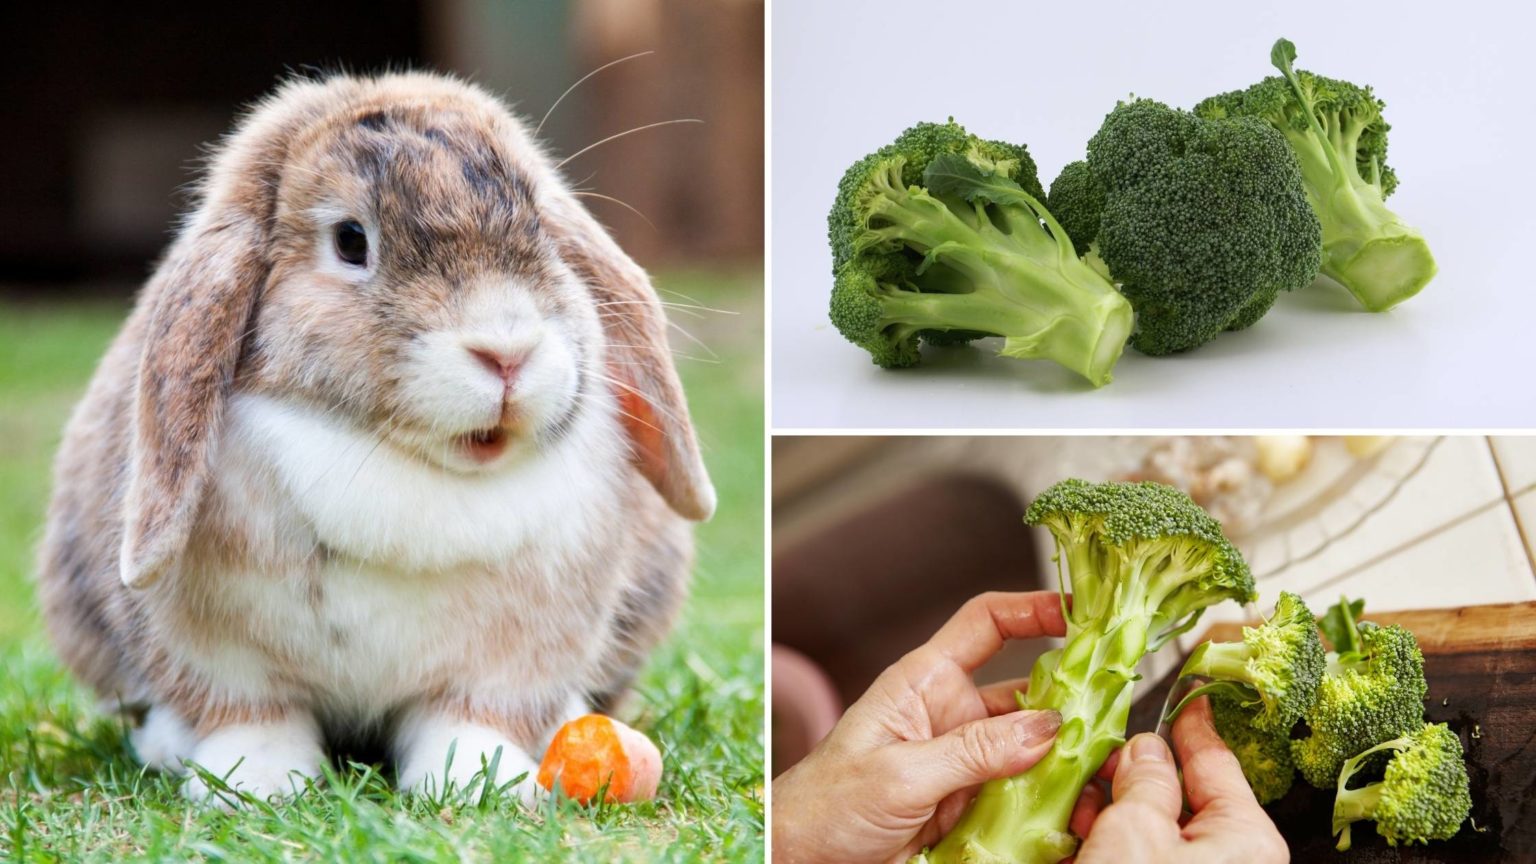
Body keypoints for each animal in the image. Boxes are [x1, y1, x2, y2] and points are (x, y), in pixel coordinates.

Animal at [35, 70, 716, 805]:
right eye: (351, 241)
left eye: (540, 223)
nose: (507, 352)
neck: (404, 464)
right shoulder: (221, 658)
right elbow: (253, 717)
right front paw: (256, 785)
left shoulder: (509, 662)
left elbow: (468, 720)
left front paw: (481, 785)